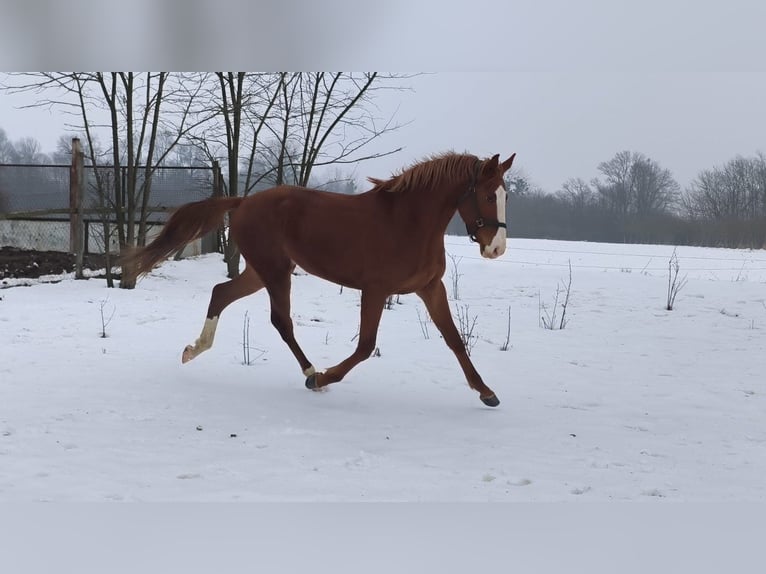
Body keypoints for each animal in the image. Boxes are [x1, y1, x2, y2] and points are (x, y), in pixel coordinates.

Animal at [122, 151, 516, 407]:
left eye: (505, 195)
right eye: (486, 194)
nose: (496, 248)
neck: (410, 223)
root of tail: (243, 201)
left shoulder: (430, 288)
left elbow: (455, 339)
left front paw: (487, 392)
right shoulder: (375, 290)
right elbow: (364, 346)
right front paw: (325, 378)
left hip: (260, 271)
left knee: (221, 293)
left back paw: (193, 350)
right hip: (275, 271)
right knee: (281, 321)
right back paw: (311, 373)